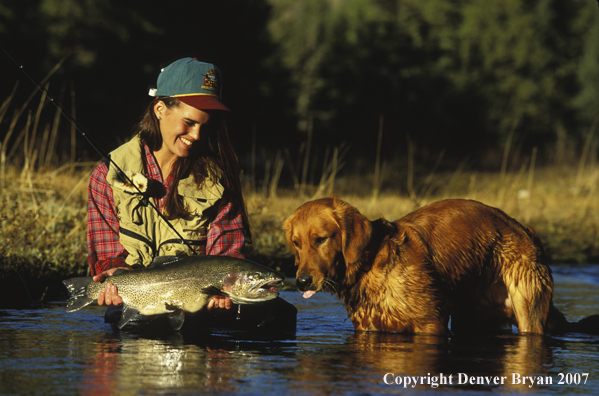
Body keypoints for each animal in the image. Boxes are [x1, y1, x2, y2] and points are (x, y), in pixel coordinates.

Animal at [284, 195, 596, 334]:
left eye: (321, 239)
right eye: (296, 243)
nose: (302, 281)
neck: (370, 264)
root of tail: (524, 232)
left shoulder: (430, 322)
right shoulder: (367, 326)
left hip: (527, 306)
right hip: (472, 317)